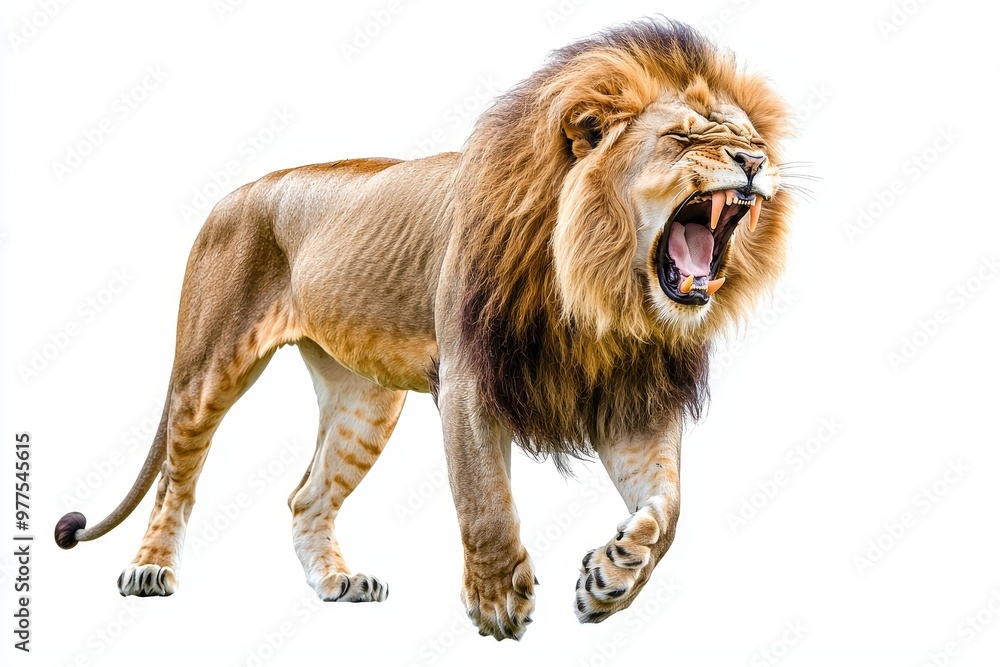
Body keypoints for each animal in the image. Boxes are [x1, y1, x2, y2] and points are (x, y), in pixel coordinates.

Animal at [54, 19, 793, 640]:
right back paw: (150, 569)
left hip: (363, 402)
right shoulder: (468, 378)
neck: (600, 293)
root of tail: (230, 196)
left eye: (752, 138)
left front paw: (612, 576)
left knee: (304, 497)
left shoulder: (632, 398)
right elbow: (485, 497)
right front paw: (497, 600)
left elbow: (669, 509)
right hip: (208, 369)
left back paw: (338, 582)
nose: (756, 161)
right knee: (176, 481)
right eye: (685, 138)